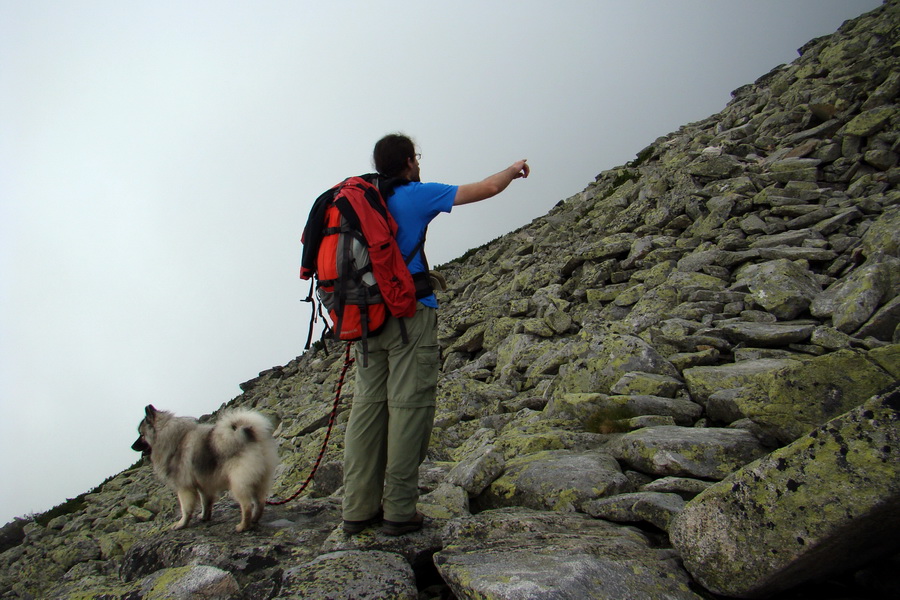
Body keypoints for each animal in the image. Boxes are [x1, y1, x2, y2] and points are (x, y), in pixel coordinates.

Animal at [132, 406, 276, 532]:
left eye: (141, 435)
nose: (132, 446)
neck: (173, 441)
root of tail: (250, 435)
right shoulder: (204, 484)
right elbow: (205, 503)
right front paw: (204, 517)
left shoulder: (185, 487)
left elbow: (185, 509)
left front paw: (181, 524)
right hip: (259, 480)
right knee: (260, 502)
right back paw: (254, 519)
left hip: (238, 483)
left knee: (246, 506)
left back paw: (243, 526)